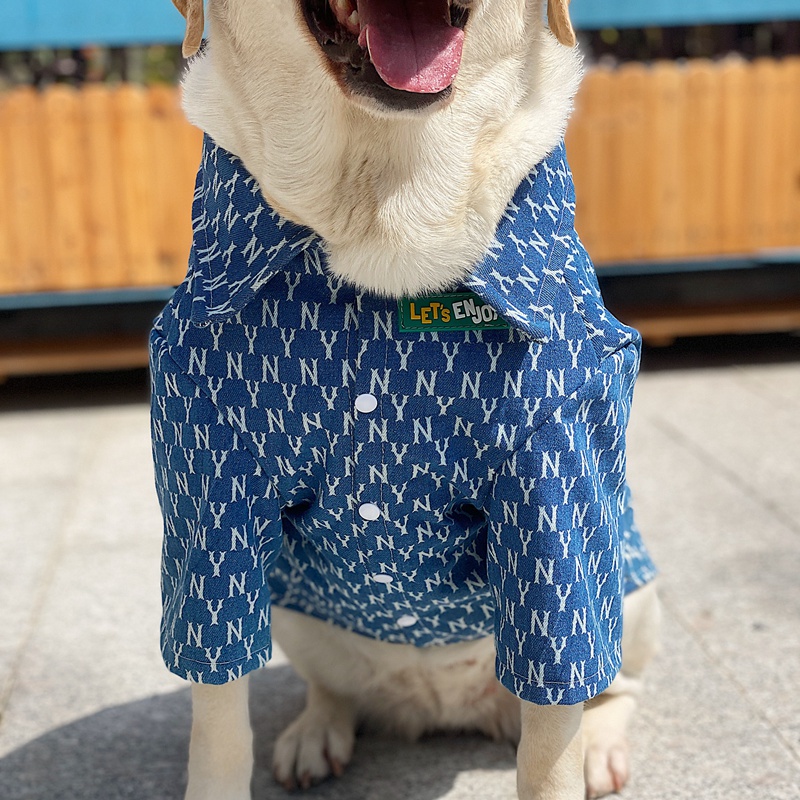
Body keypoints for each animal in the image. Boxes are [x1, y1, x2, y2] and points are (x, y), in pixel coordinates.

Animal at [159, 1, 660, 800]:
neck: (389, 208)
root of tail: (443, 708)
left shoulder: (555, 486)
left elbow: (554, 732)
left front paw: (571, 758)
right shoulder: (211, 491)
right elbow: (217, 716)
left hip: (632, 580)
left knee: (612, 686)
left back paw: (602, 748)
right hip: (293, 607)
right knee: (333, 688)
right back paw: (315, 733)